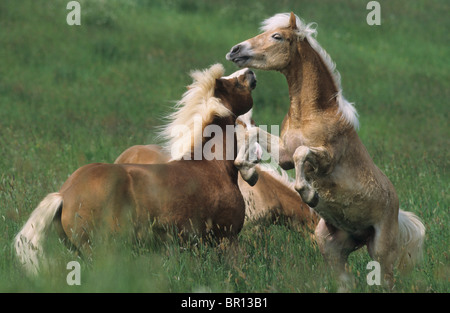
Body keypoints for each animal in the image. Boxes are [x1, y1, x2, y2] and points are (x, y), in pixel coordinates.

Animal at [225, 12, 426, 286]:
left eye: (277, 36)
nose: (235, 50)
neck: (311, 113)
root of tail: (397, 211)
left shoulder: (326, 159)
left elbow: (302, 155)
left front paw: (309, 194)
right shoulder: (284, 153)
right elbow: (253, 134)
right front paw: (248, 172)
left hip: (381, 252)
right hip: (331, 247)